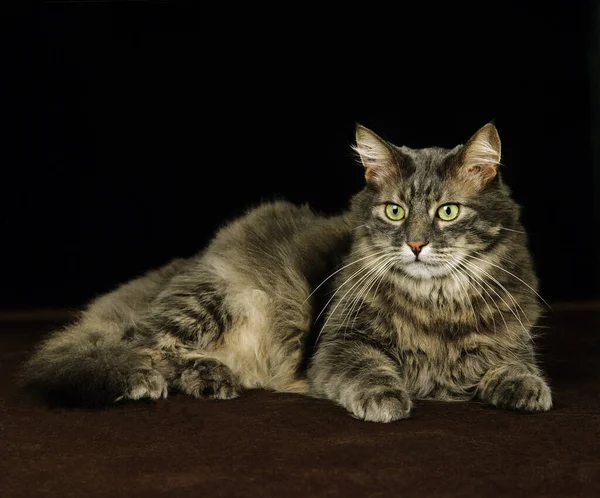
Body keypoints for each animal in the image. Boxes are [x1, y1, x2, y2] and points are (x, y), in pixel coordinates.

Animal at [21, 122, 552, 422]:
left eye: (447, 212)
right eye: (395, 212)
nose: (416, 245)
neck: (436, 306)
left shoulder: (510, 341)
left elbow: (516, 365)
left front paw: (526, 390)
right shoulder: (340, 345)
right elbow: (370, 368)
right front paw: (387, 399)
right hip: (220, 296)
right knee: (145, 348)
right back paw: (163, 378)